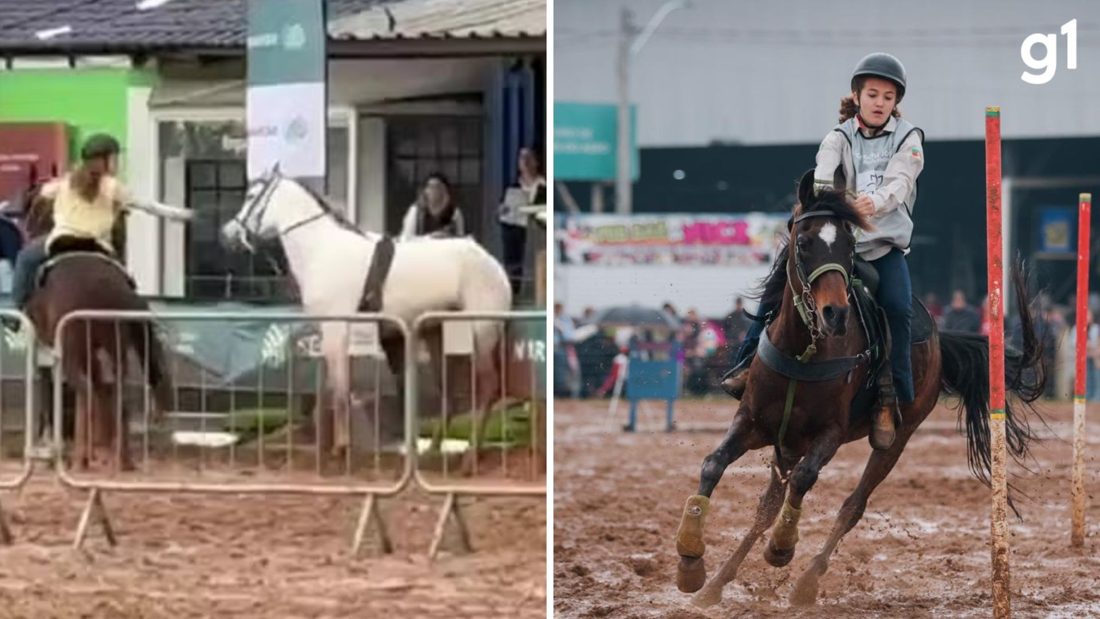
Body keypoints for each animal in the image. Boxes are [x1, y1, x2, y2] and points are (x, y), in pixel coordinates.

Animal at [17, 181, 175, 470]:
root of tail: (101, 288)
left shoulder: (50, 351)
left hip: (73, 350)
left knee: (87, 392)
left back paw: (82, 458)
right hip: (116, 347)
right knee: (117, 394)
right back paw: (122, 459)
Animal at [219, 165, 513, 468]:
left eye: (251, 195)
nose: (227, 233)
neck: (322, 250)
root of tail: (494, 265)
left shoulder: (335, 331)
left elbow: (339, 388)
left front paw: (340, 449)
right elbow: (339, 385)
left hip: (482, 330)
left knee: (488, 386)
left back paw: (470, 457)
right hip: (437, 333)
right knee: (449, 392)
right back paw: (431, 451)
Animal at [673, 168, 1046, 607]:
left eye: (849, 245)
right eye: (803, 242)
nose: (834, 313)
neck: (804, 352)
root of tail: (941, 340)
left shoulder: (830, 434)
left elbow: (805, 480)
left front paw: (781, 549)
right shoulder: (753, 421)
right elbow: (714, 465)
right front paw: (690, 562)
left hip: (898, 436)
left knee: (852, 505)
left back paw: (806, 582)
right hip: (787, 442)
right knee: (769, 505)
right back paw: (716, 584)